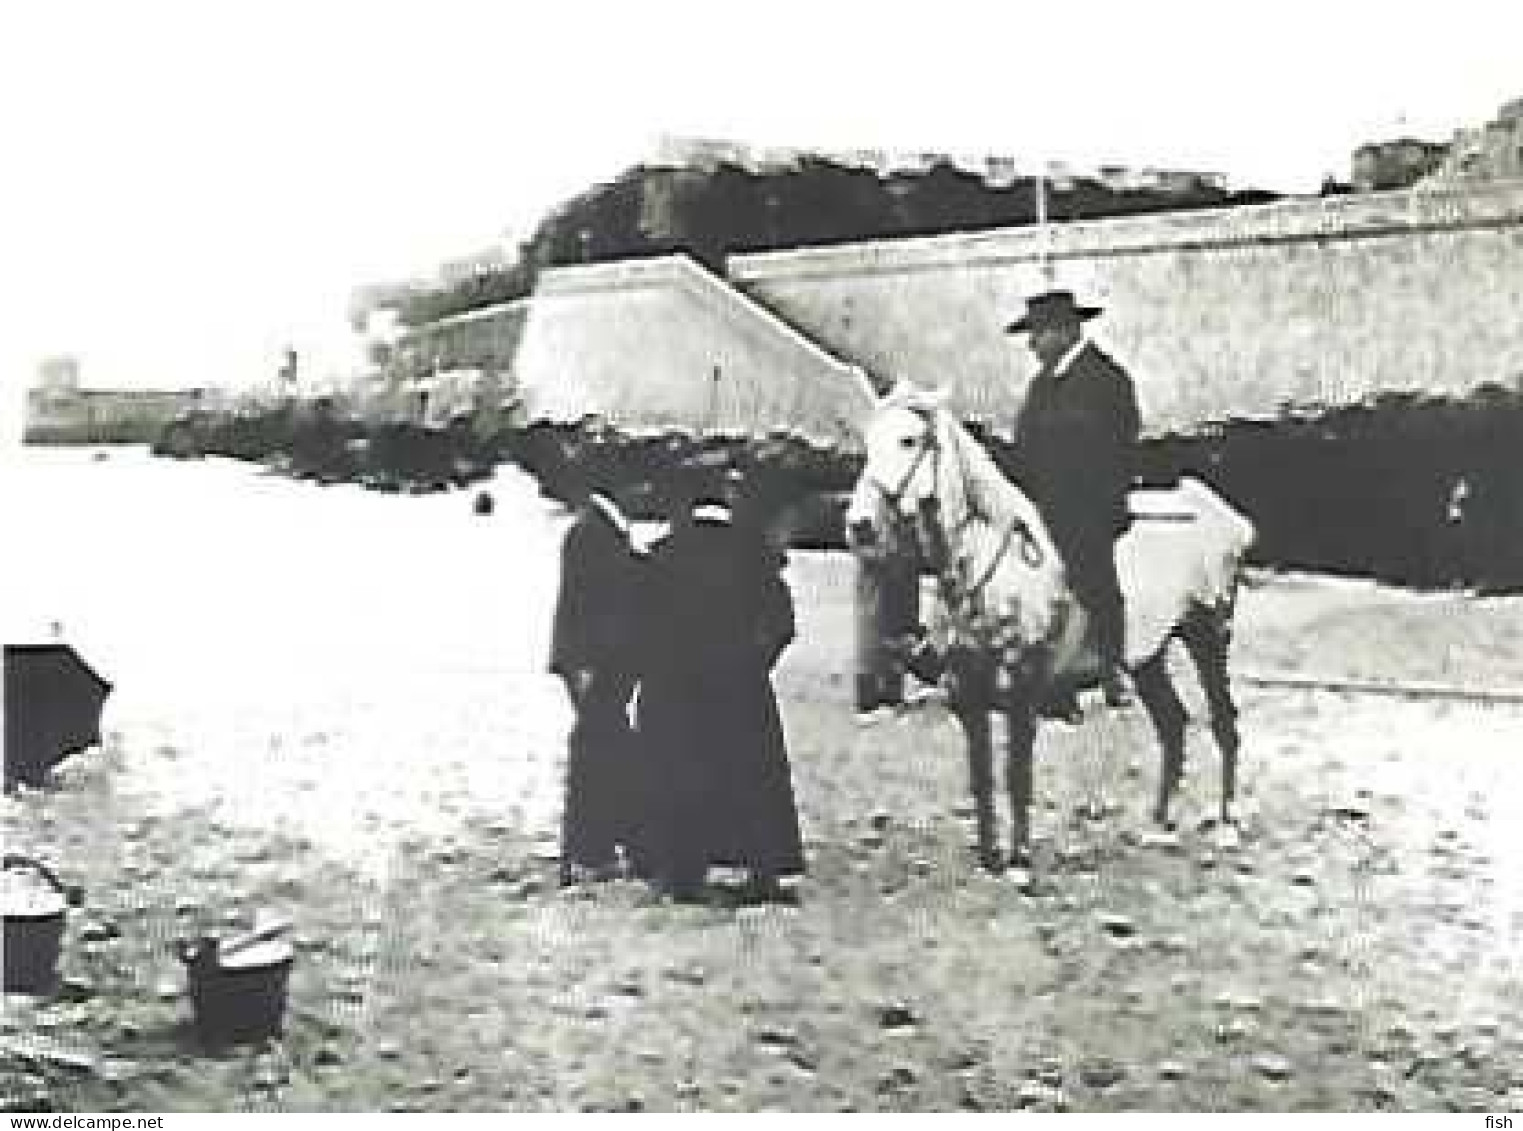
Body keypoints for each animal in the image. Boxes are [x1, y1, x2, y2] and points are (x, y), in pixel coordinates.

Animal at [858, 395, 1261, 876]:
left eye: (909, 440)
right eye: (867, 441)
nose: (859, 524)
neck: (992, 567)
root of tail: (1222, 513)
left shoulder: (1021, 688)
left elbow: (1016, 774)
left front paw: (1019, 859)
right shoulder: (970, 694)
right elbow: (981, 776)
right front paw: (990, 857)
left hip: (1208, 636)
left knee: (1224, 724)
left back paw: (1227, 822)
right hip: (1149, 656)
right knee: (1173, 725)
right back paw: (1158, 822)